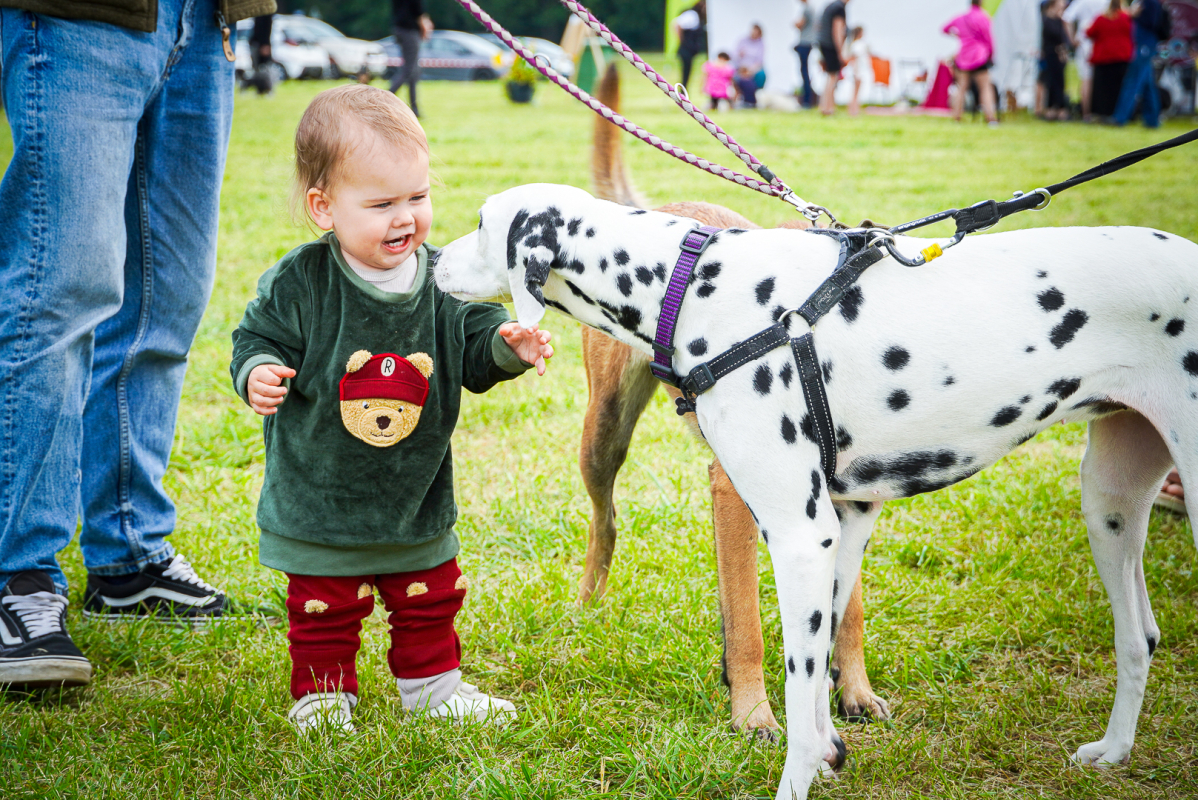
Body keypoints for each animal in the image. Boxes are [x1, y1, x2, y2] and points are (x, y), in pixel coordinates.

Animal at [438, 183, 1198, 800]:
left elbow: (800, 698)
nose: (434, 257)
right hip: (1109, 504)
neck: (692, 282)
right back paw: (1113, 752)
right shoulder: (846, 523)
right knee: (1139, 636)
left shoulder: (801, 536)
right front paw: (833, 745)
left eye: (478, 223)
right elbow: (823, 665)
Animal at [575, 67, 896, 732]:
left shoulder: (845, 501)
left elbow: (848, 611)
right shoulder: (730, 490)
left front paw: (853, 689)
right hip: (604, 432)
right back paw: (588, 605)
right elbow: (748, 622)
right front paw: (753, 715)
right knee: (605, 520)